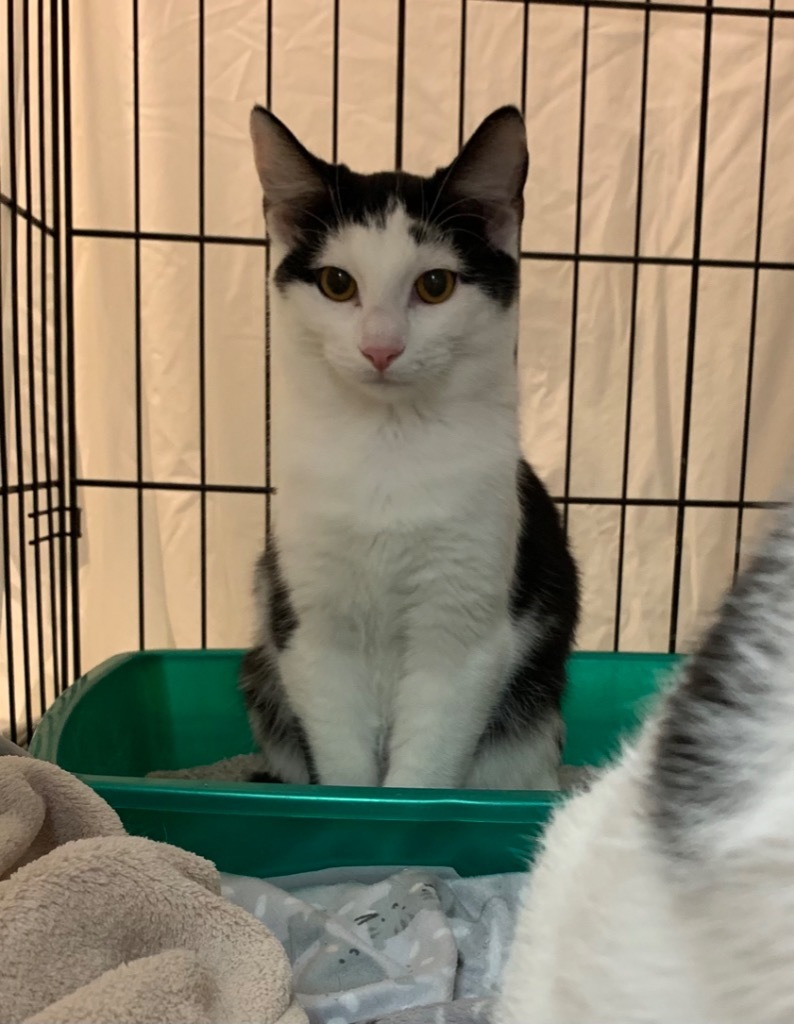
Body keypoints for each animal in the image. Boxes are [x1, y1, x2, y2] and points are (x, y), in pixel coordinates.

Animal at [238, 105, 581, 790]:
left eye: (436, 284)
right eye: (336, 283)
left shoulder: (464, 634)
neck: (386, 445)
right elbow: (344, 766)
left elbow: (422, 772)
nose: (381, 346)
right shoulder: (311, 630)